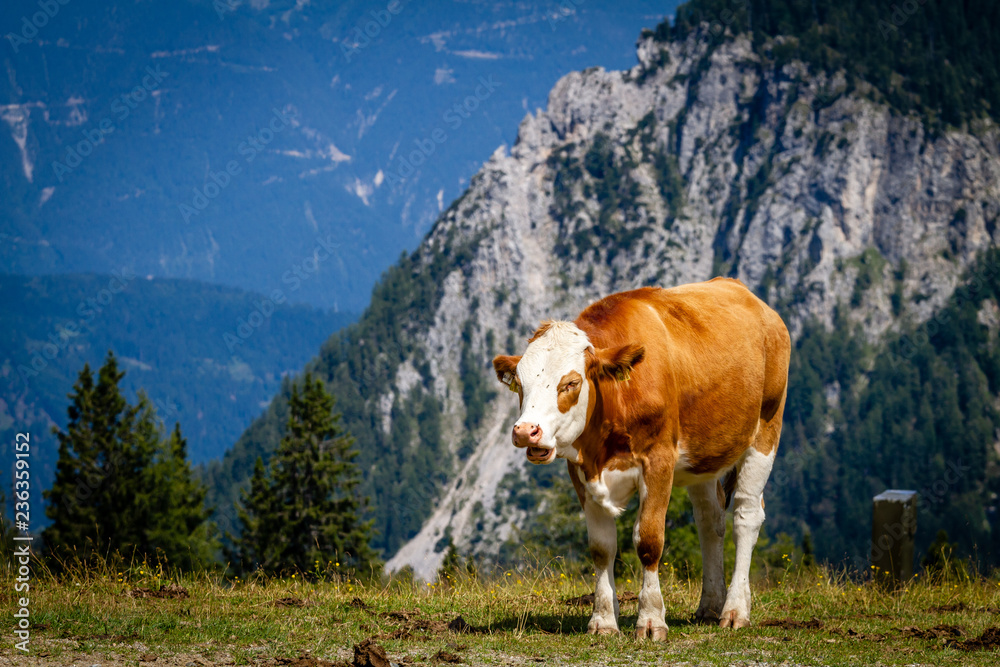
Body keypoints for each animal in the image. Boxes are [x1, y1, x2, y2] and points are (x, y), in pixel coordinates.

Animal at [492, 278, 790, 640]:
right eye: (520, 383)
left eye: (571, 383)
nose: (526, 431)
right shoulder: (580, 469)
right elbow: (601, 547)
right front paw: (604, 621)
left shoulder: (658, 460)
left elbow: (649, 540)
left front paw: (650, 620)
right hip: (702, 458)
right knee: (710, 521)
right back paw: (709, 606)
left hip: (766, 429)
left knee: (746, 517)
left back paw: (734, 611)